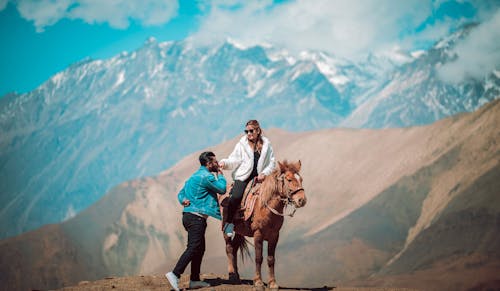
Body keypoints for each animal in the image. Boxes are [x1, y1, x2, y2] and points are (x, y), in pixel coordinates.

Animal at [224, 161, 308, 290]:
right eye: (289, 179)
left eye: (301, 179)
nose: (302, 200)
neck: (266, 207)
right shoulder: (258, 234)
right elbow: (259, 258)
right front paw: (258, 282)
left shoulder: (274, 236)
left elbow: (271, 259)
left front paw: (272, 283)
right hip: (225, 228)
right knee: (229, 248)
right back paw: (232, 275)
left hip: (239, 232)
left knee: (234, 249)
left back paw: (237, 276)